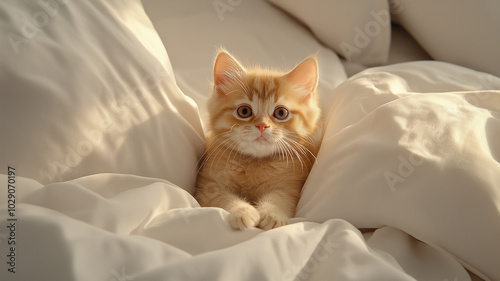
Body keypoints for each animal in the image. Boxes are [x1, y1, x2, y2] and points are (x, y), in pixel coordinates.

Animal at [193, 49, 322, 230]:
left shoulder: (289, 186)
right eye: (244, 111)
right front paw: (244, 212)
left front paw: (273, 214)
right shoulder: (208, 187)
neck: (255, 162)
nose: (262, 125)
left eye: (281, 113)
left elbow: (279, 198)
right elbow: (224, 199)